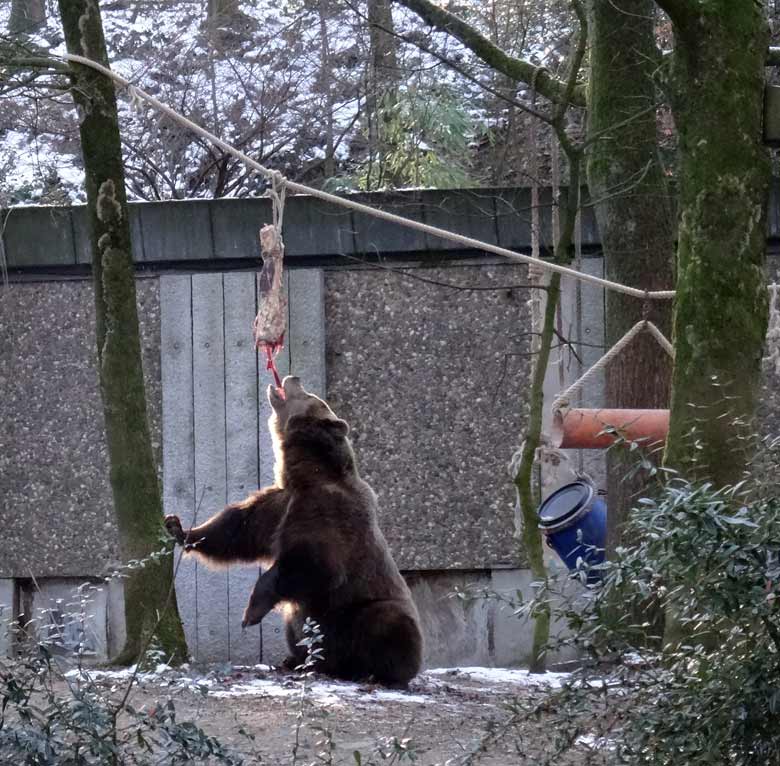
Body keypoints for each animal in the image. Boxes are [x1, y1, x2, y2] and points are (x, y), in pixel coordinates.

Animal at [163, 376, 420, 688]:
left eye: (311, 395)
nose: (292, 377)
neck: (307, 474)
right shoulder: (279, 506)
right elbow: (236, 531)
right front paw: (178, 527)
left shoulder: (325, 515)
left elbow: (312, 566)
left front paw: (249, 614)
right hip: (304, 620)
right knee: (296, 628)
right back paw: (295, 660)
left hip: (358, 612)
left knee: (388, 622)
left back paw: (378, 672)